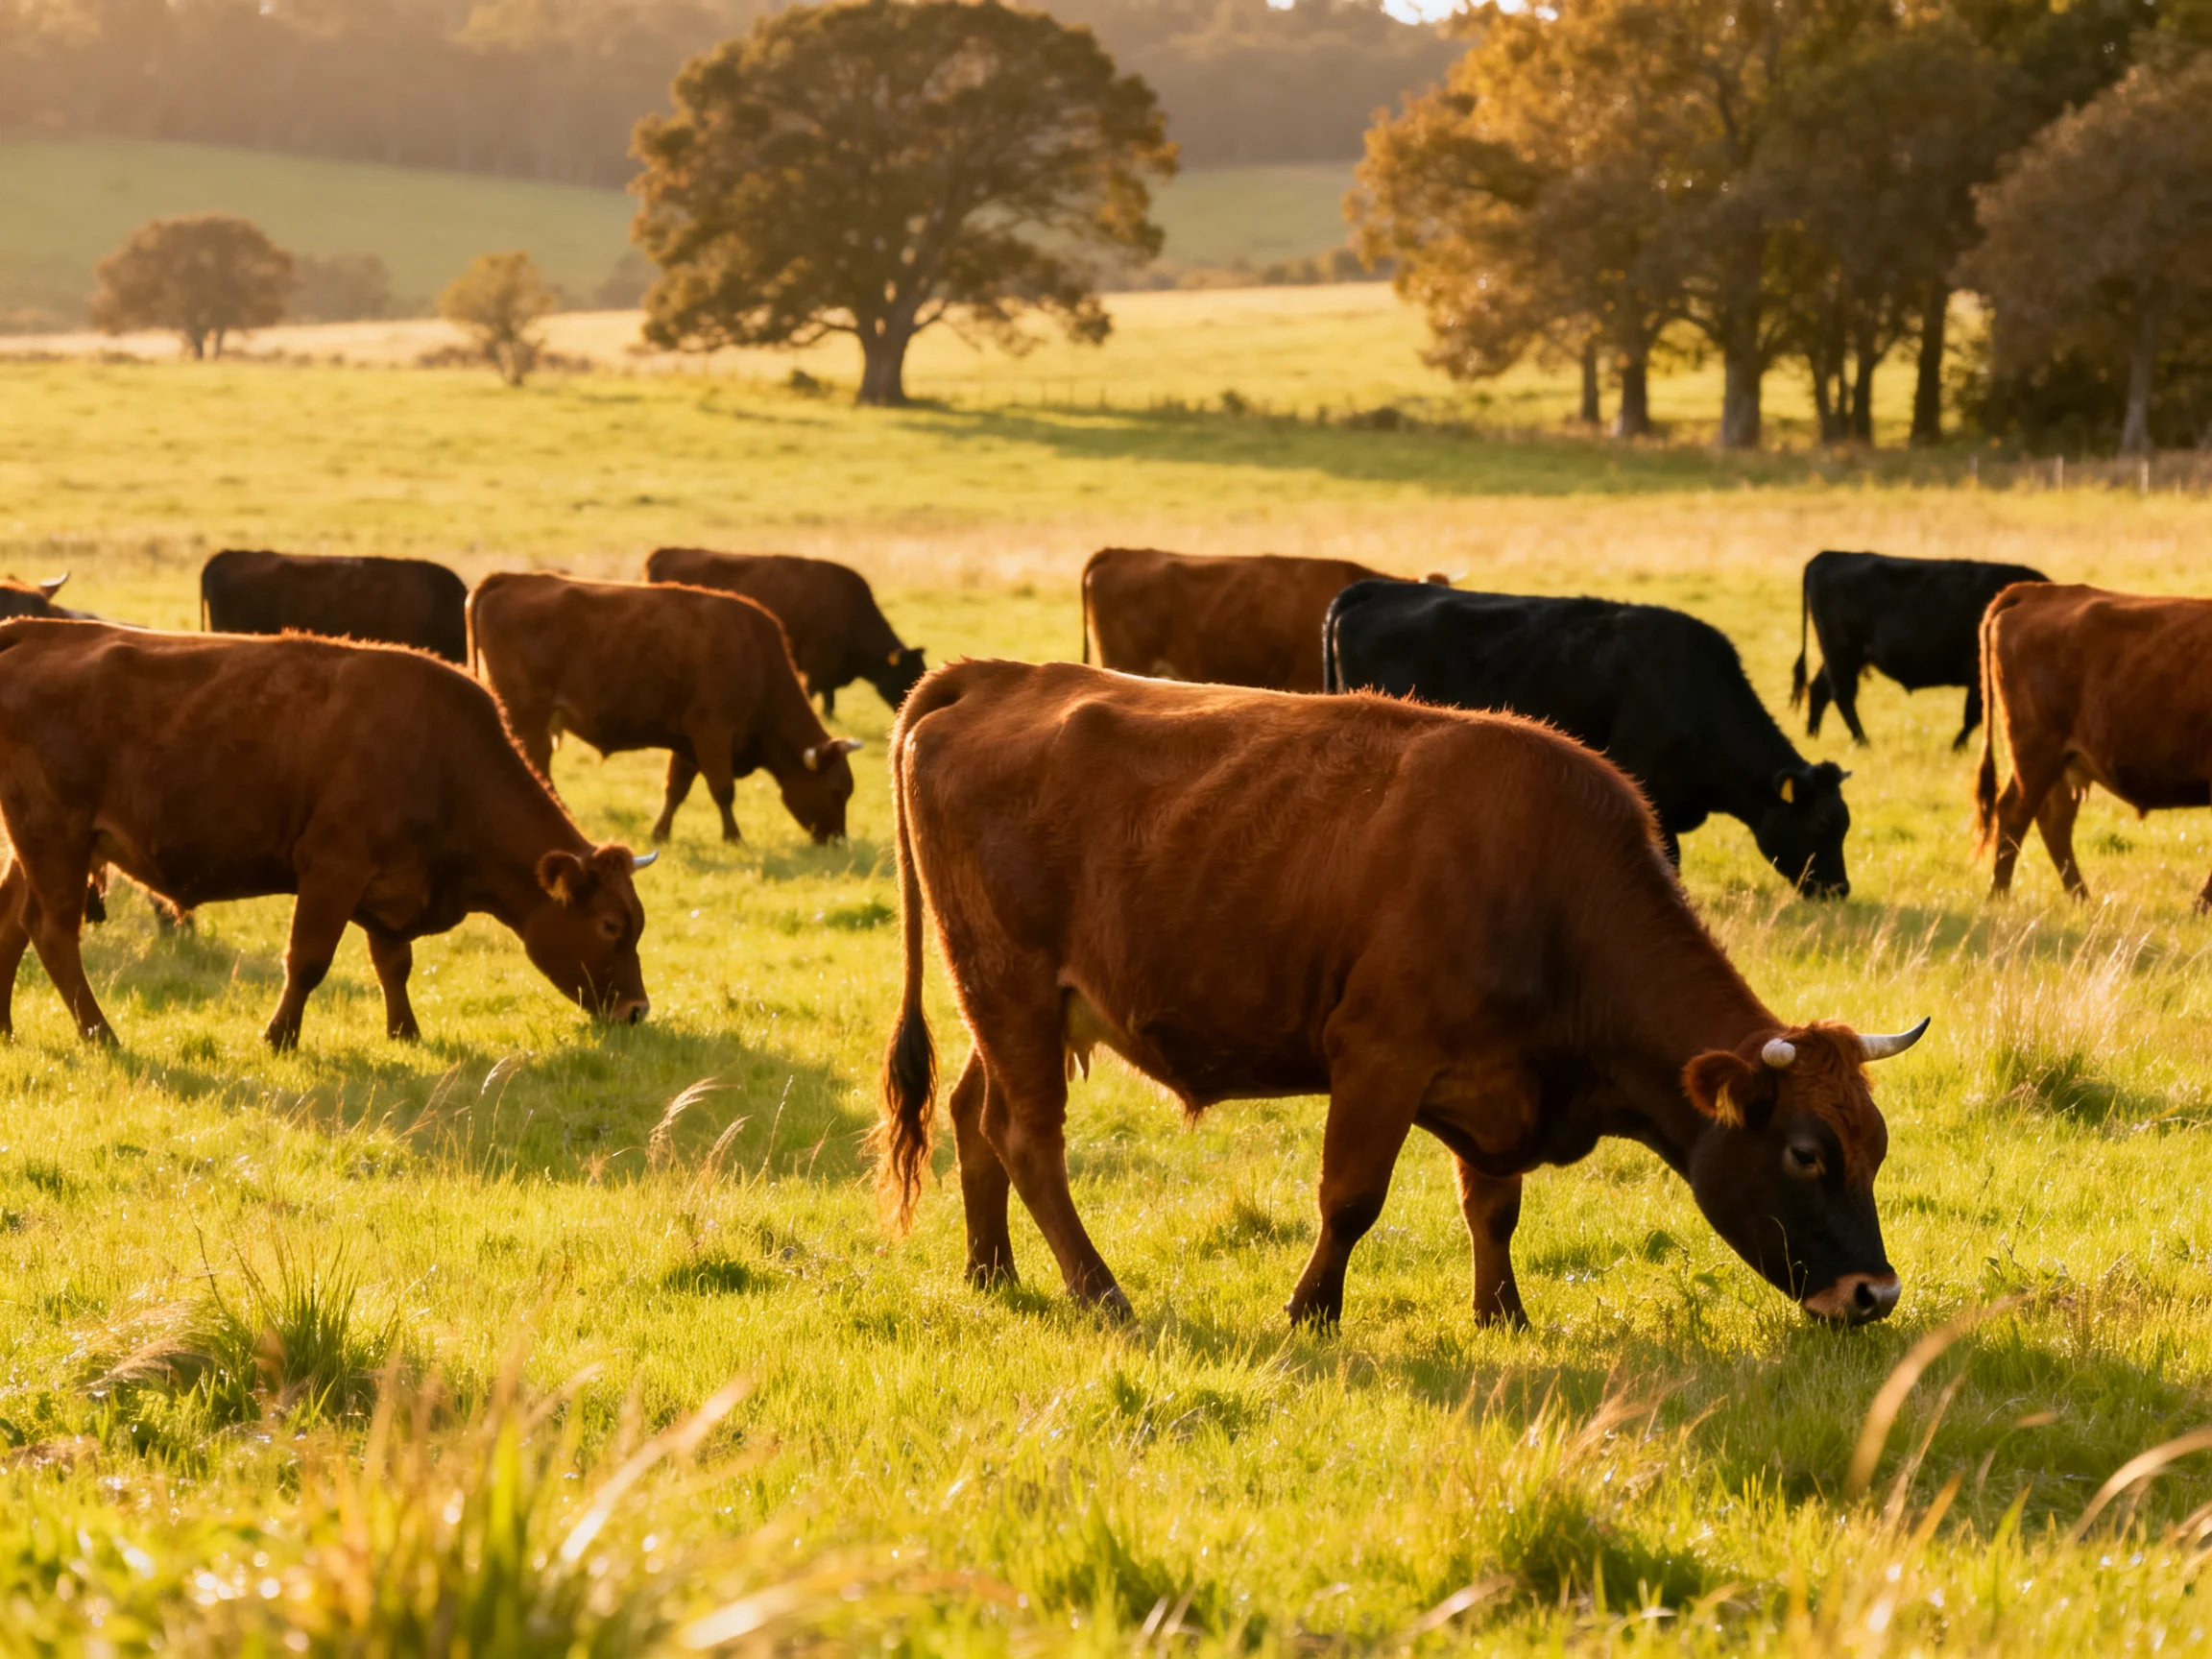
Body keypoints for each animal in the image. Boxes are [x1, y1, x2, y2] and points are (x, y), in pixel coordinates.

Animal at [0, 621, 653, 1049]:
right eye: (609, 925)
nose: (637, 1011)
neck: (441, 757)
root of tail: (34, 631)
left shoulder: (387, 885)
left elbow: (394, 962)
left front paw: (405, 1032)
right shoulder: (332, 869)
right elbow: (309, 960)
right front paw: (279, 1037)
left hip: (39, 847)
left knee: (14, 922)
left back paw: (7, 1028)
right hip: (54, 838)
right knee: (53, 933)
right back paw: (100, 1033)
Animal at [468, 573, 861, 845]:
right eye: (836, 790)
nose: (836, 841)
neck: (758, 661)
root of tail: (510, 578)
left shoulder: (688, 743)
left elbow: (676, 790)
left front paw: (660, 833)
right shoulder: (712, 733)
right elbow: (723, 790)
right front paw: (734, 837)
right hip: (526, 715)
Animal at [873, 661, 1927, 1329]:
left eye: (1875, 1146)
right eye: (1805, 1154)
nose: (1874, 1295)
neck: (1548, 888)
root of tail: (996, 674)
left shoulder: (1498, 1083)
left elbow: (1493, 1209)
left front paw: (1504, 1316)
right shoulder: (1379, 1058)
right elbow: (1351, 1199)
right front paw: (1310, 1312)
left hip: (1015, 1004)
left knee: (973, 1114)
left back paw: (991, 1271)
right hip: (1008, 985)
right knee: (1028, 1140)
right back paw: (1099, 1293)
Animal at [1791, 550, 2049, 748]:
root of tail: (1826, 556)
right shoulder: (1979, 674)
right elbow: (1973, 715)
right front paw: (1957, 748)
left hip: (1842, 658)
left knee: (1820, 689)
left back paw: (1813, 736)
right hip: (1843, 655)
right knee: (1842, 695)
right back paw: (1863, 741)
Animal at [1974, 583, 2212, 903]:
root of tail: (2039, 591)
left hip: (2061, 763)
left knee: (2052, 821)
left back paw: (2081, 899)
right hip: (2036, 754)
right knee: (2014, 813)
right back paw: (1999, 895)